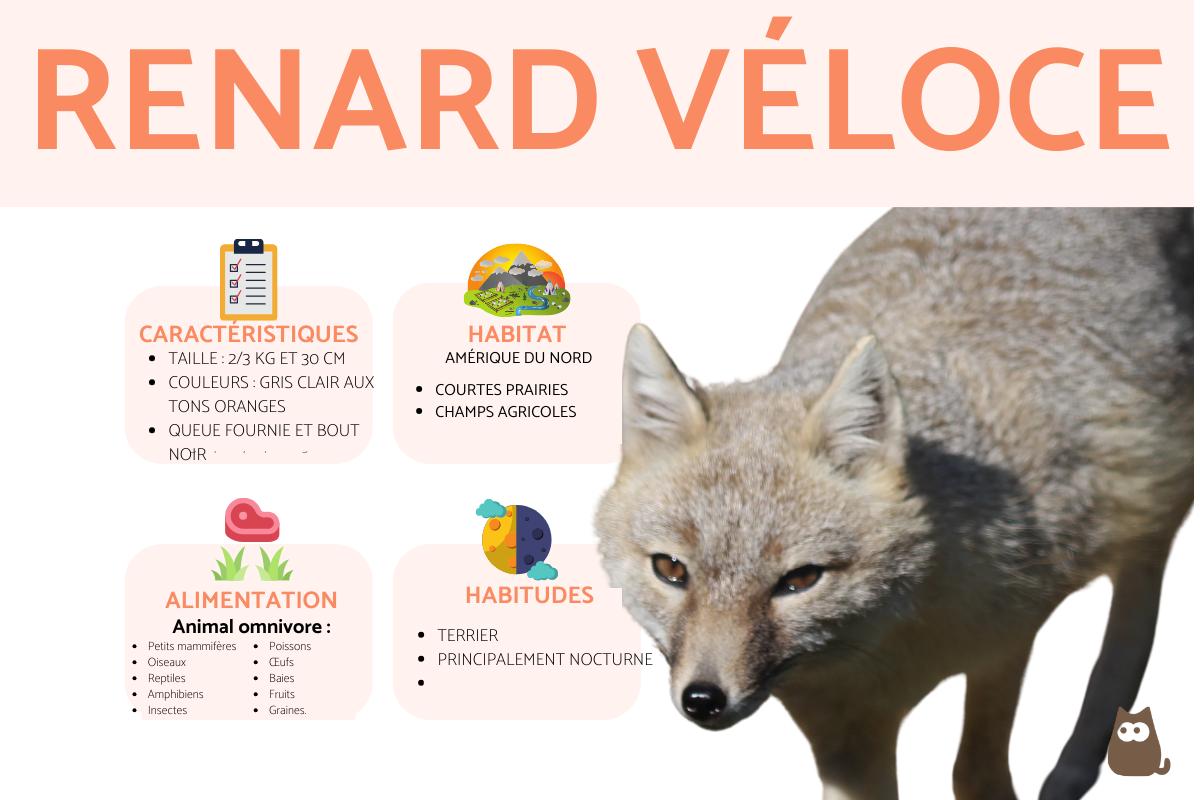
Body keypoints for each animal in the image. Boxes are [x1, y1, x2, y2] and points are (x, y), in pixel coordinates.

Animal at [595, 208, 1193, 800]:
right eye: (671, 570)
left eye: (799, 580)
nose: (703, 699)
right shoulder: (847, 735)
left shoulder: (1008, 638)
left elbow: (974, 773)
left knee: (1140, 596)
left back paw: (1080, 757)